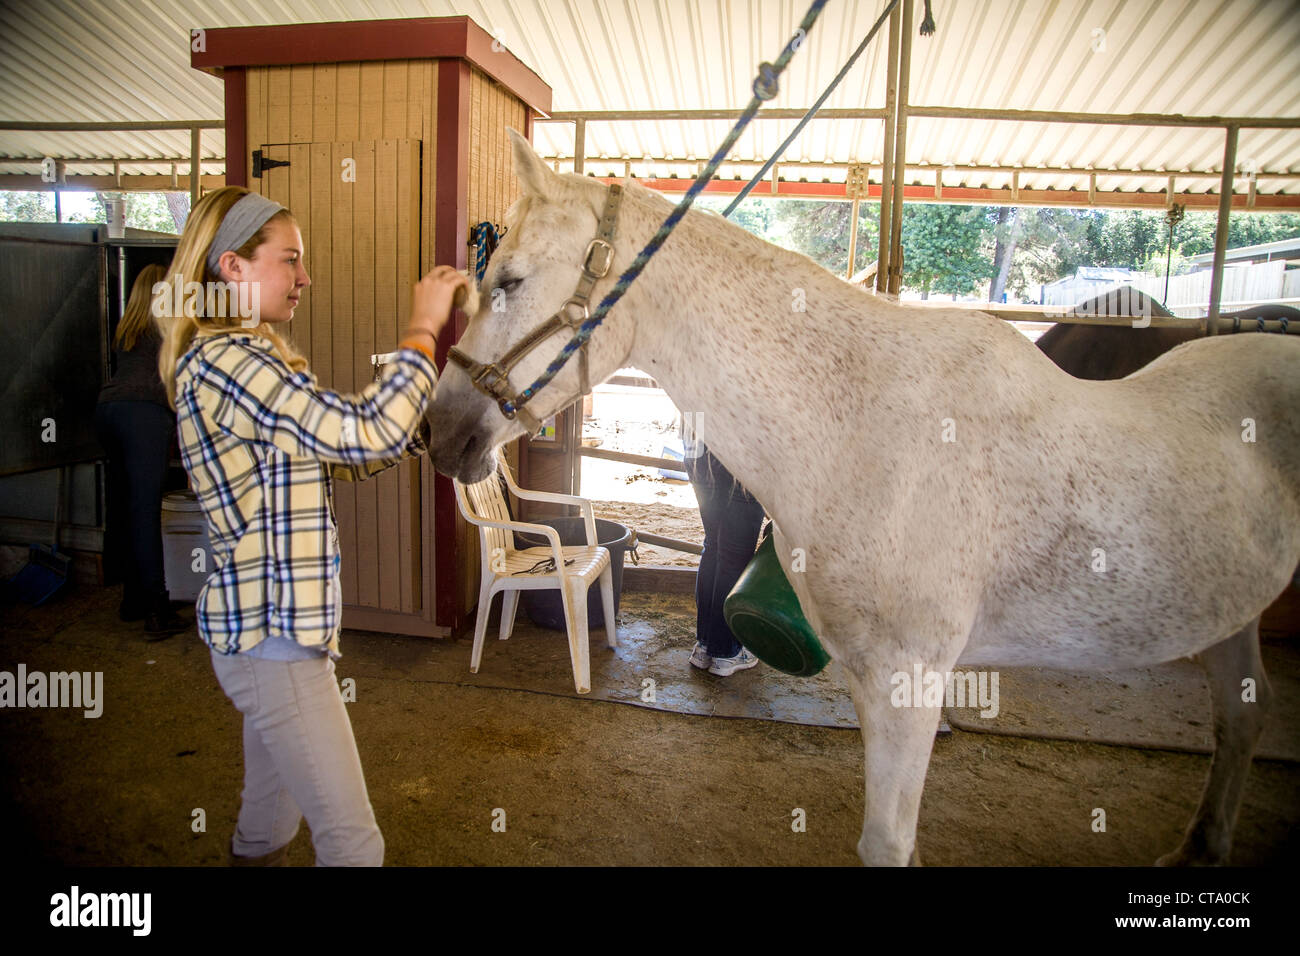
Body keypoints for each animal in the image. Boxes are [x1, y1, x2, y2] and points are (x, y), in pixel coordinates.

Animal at [426, 129, 1300, 865]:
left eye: (509, 281)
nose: (438, 429)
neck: (864, 424)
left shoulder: (908, 680)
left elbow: (886, 844)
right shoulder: (870, 681)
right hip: (1223, 609)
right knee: (1244, 714)